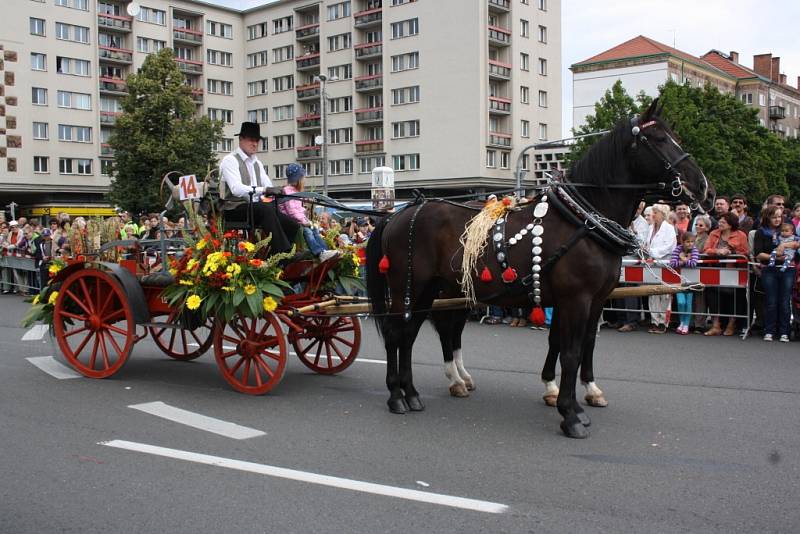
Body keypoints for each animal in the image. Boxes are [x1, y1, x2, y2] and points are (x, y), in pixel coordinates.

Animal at [366, 100, 716, 440]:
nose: (704, 188)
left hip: (430, 289)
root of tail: (398, 214)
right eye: (658, 140)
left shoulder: (593, 300)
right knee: (399, 333)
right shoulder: (576, 299)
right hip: (408, 286)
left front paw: (571, 394)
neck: (583, 220)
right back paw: (397, 396)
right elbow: (571, 352)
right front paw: (570, 414)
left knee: (414, 334)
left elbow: (579, 344)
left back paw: (415, 392)